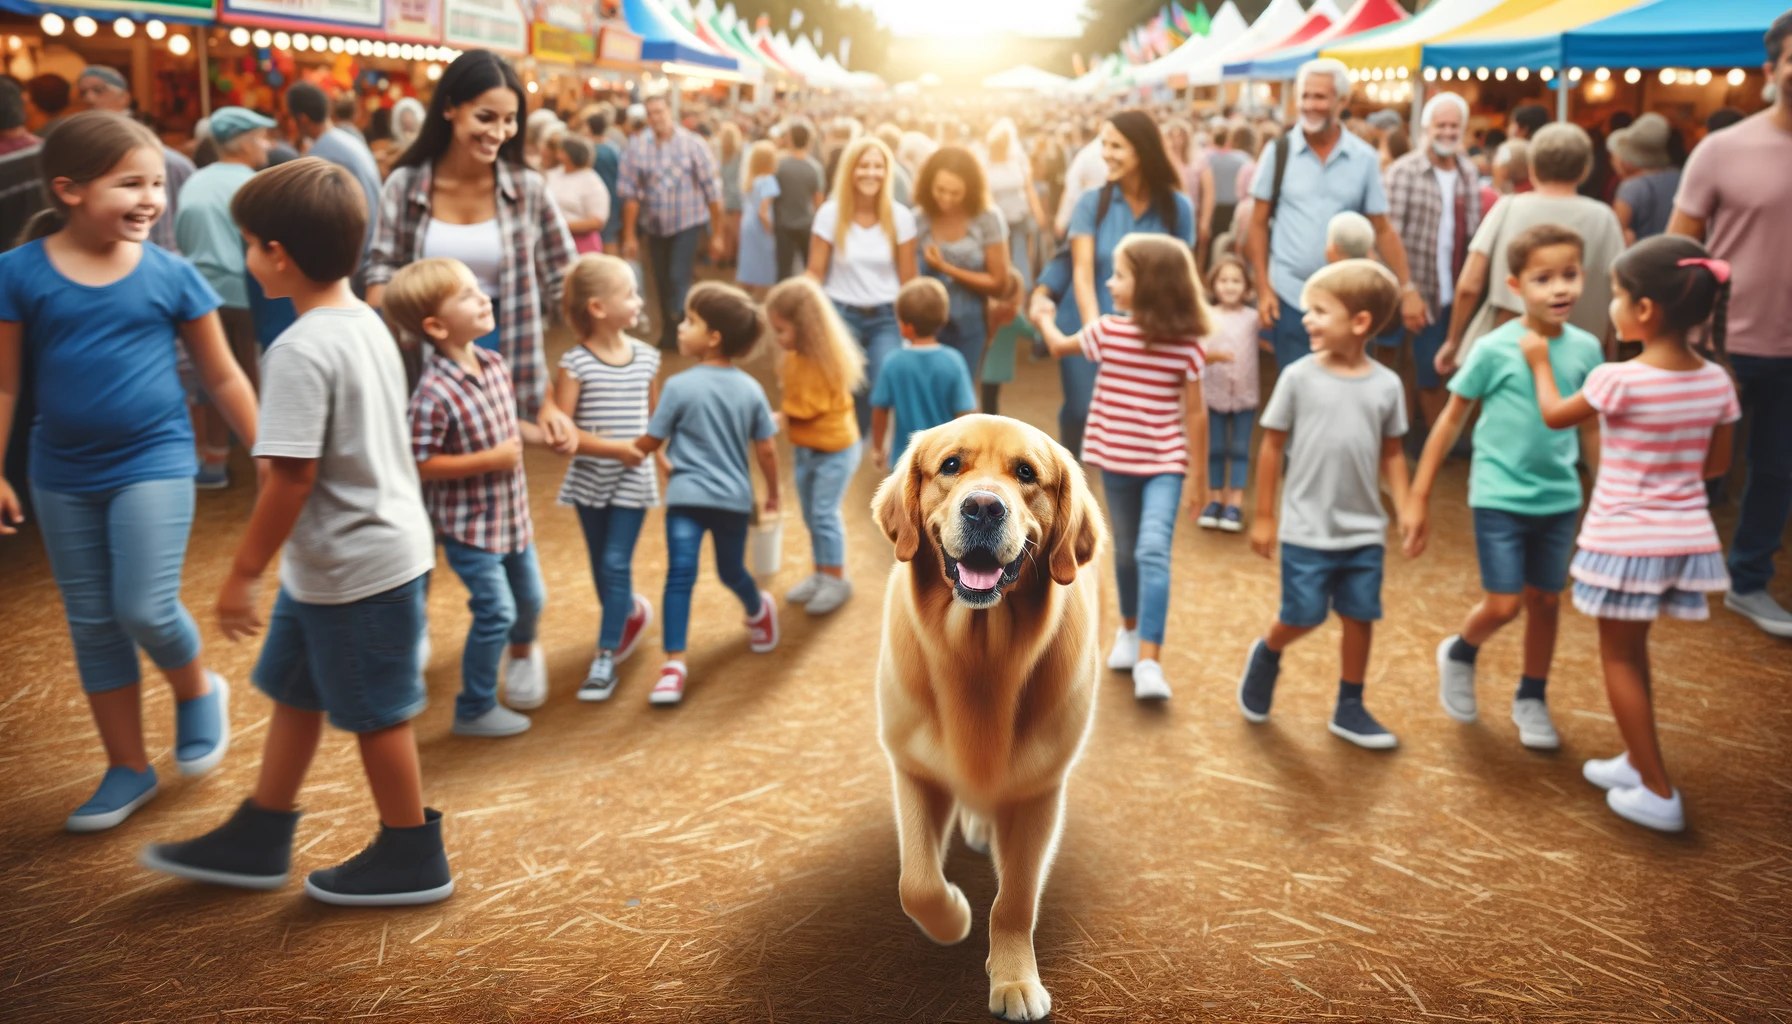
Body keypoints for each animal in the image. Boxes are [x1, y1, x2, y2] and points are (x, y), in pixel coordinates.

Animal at [870, 414, 1103, 1018]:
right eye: (951, 465)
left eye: (1026, 474)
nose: (982, 507)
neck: (979, 654)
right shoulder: (913, 768)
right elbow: (916, 882)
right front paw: (952, 917)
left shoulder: (1038, 792)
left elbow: (1015, 899)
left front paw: (1015, 980)